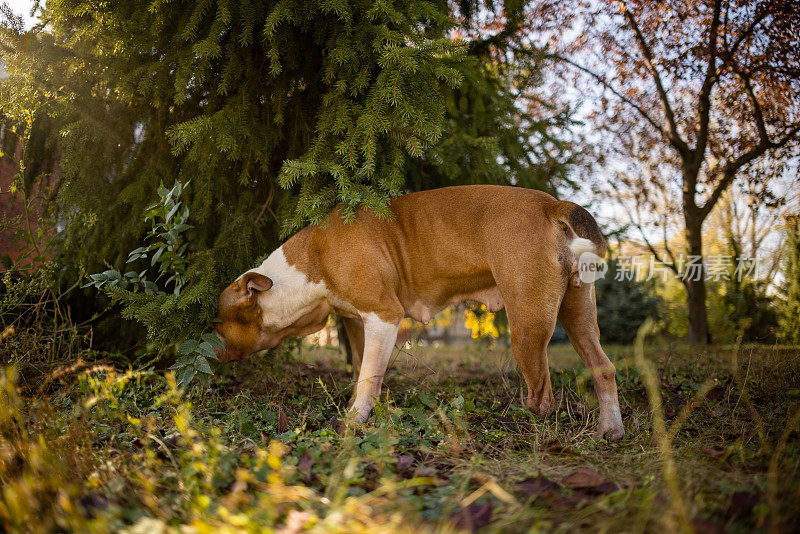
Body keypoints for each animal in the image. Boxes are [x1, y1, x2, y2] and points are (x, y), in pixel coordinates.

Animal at [212, 186, 624, 442]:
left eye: (217, 321)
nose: (209, 345)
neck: (312, 262)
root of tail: (551, 205)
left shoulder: (383, 315)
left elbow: (368, 376)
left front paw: (355, 418)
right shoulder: (360, 323)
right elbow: (364, 367)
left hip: (528, 324)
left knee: (542, 392)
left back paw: (523, 421)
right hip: (578, 314)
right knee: (602, 366)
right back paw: (611, 431)